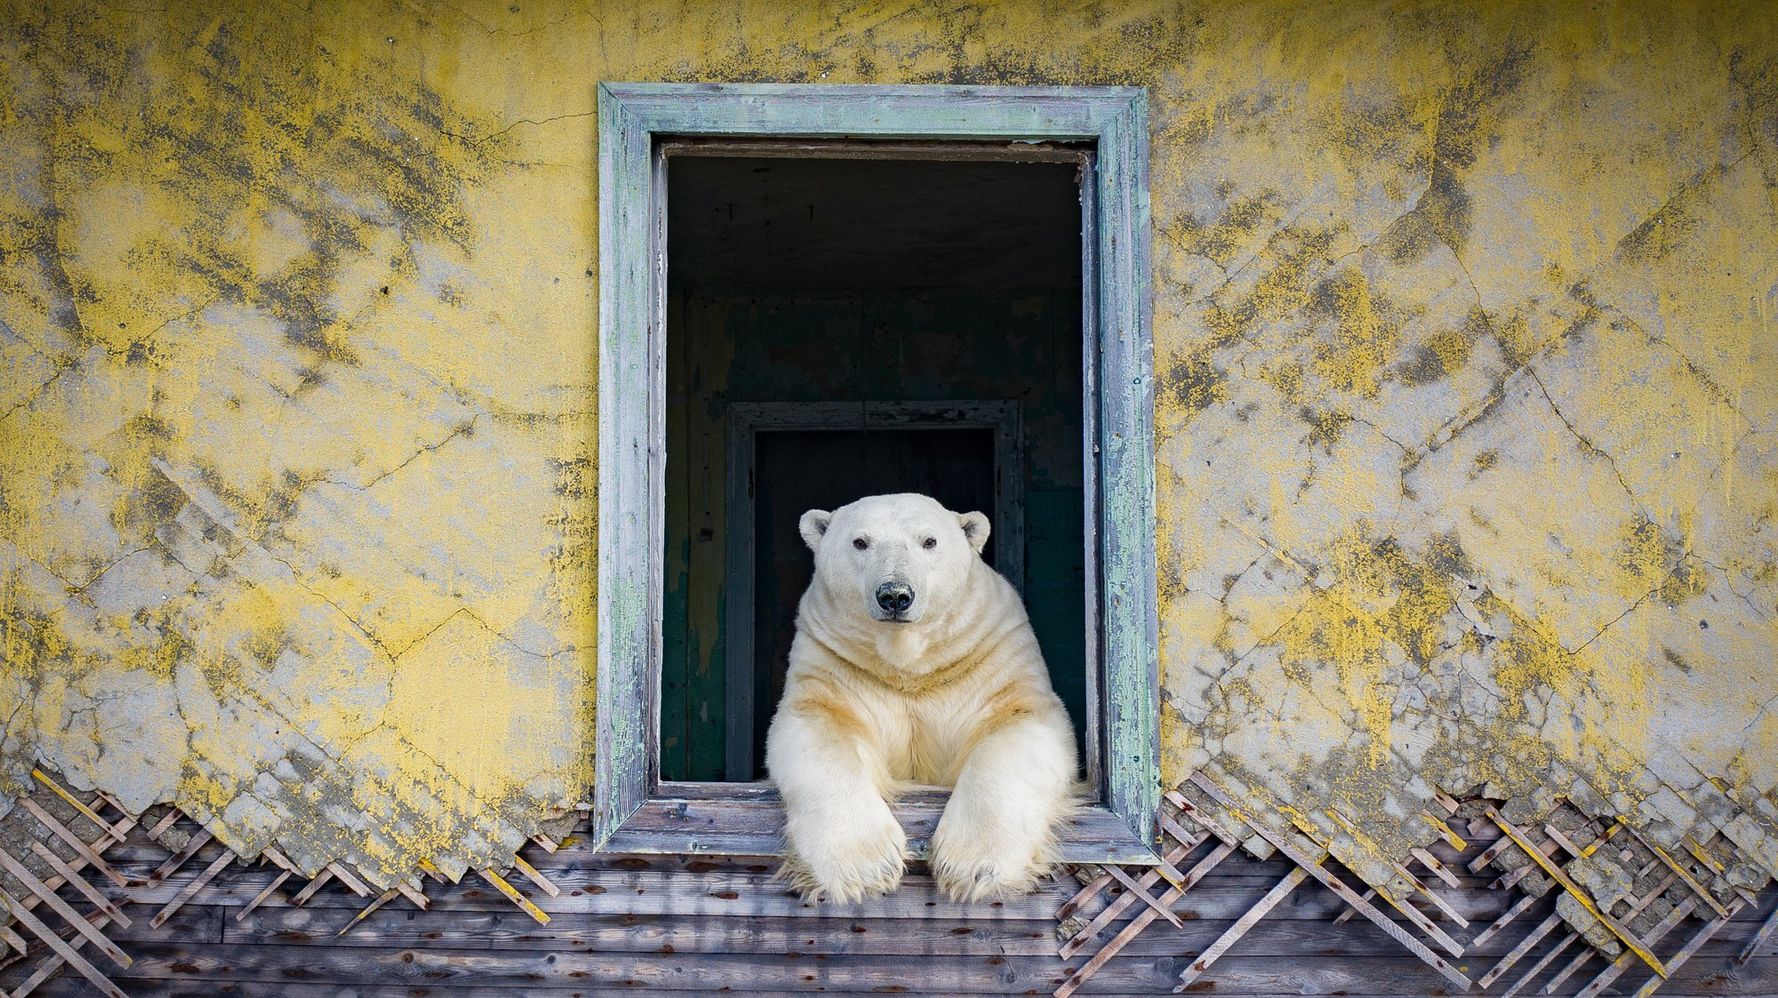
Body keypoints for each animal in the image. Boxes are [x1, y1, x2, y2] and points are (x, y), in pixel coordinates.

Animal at [760, 490, 1073, 903]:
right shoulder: (834, 663)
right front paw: (865, 868)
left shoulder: (992, 654)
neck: (909, 667)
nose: (895, 595)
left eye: (929, 541)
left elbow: (1018, 725)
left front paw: (973, 867)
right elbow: (818, 727)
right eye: (860, 542)